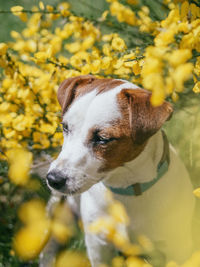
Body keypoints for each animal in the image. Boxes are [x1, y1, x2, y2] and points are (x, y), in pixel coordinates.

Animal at [41, 76, 194, 267]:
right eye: (65, 127)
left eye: (102, 139)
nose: (53, 179)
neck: (125, 189)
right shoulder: (98, 245)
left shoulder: (177, 248)